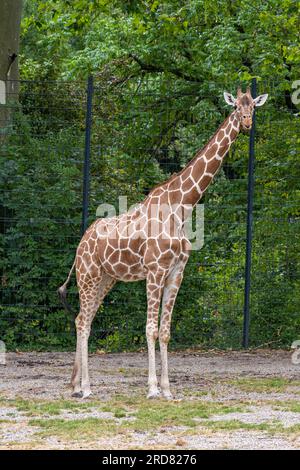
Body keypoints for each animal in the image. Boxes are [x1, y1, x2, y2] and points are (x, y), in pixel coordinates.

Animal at [58, 86, 268, 398]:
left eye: (253, 106)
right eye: (234, 107)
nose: (246, 123)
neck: (182, 207)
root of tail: (80, 243)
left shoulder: (176, 273)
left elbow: (166, 332)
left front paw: (168, 389)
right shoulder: (155, 271)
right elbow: (150, 329)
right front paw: (153, 388)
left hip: (106, 279)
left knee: (83, 318)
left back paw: (74, 384)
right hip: (88, 275)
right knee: (83, 322)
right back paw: (85, 388)